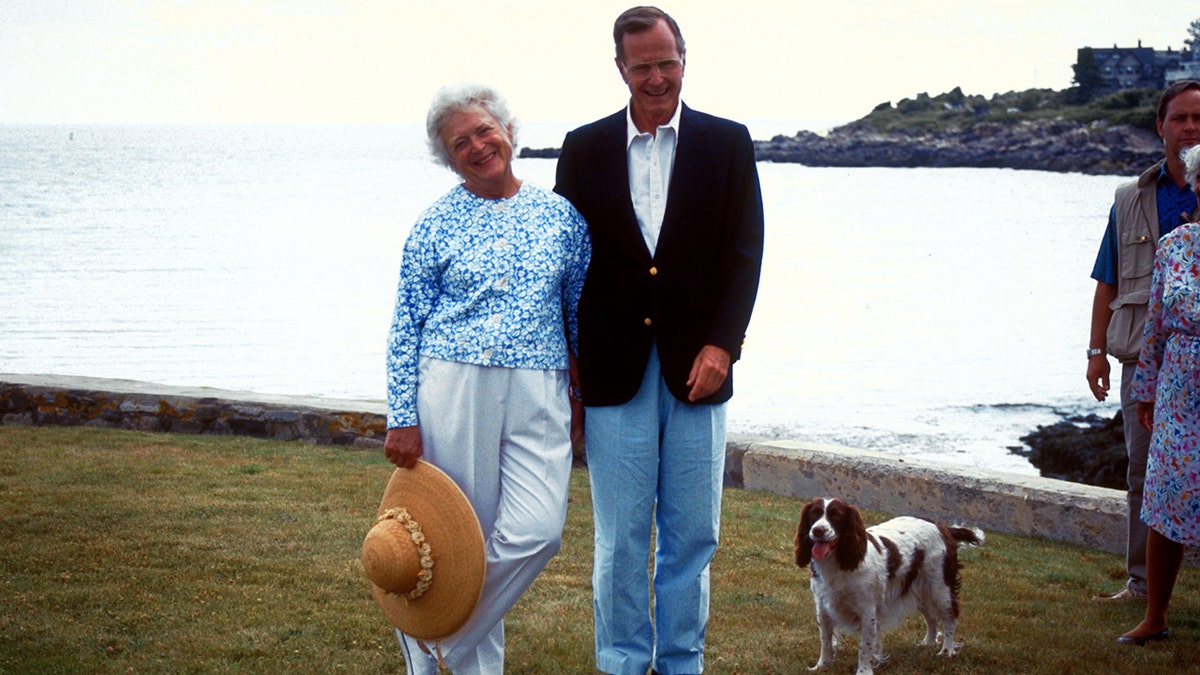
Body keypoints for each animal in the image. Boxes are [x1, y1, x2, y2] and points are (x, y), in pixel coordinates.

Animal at [792, 494, 979, 672]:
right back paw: (927, 643)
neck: (837, 563)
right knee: (931, 617)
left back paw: (947, 651)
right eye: (814, 514)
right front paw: (822, 666)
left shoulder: (867, 611)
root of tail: (942, 527)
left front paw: (864, 671)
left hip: (940, 589)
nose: (817, 530)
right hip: (920, 589)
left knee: (950, 617)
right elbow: (825, 640)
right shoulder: (822, 605)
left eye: (836, 515)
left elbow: (865, 647)